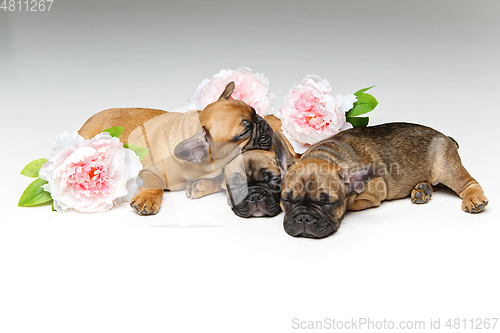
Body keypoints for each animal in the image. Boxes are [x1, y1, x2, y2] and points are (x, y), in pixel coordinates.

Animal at [78, 81, 274, 214]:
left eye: (255, 112)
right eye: (245, 132)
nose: (263, 123)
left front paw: (201, 185)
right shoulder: (147, 170)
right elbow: (154, 182)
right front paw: (148, 197)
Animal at [274, 123, 488, 237]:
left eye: (328, 203)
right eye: (286, 199)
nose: (304, 218)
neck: (328, 156)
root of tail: (446, 137)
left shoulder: (374, 192)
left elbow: (351, 204)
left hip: (447, 168)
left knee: (468, 183)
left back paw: (473, 198)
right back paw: (421, 189)